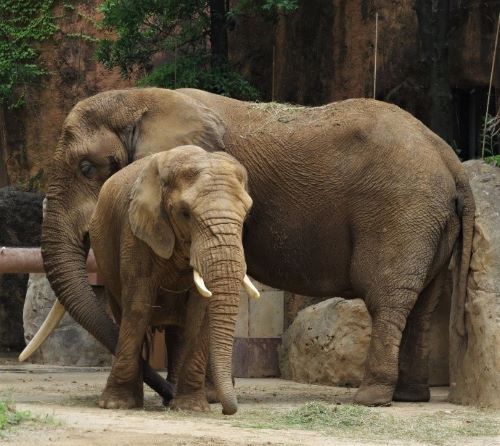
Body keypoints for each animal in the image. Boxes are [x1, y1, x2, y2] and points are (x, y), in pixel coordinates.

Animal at [88, 145, 258, 414]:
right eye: (185, 213)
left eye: (247, 213)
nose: (227, 409)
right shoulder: (136, 232)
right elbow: (138, 307)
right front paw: (115, 404)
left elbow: (201, 312)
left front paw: (192, 408)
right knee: (124, 313)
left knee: (178, 331)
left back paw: (173, 398)